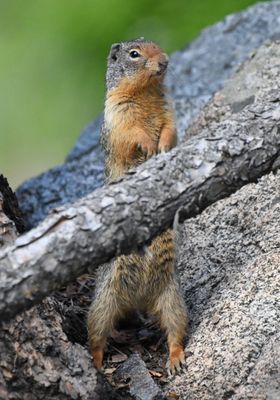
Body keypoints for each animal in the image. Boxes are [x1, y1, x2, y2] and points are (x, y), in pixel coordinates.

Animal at [87, 38, 188, 376]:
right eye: (134, 54)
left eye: (158, 45)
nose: (166, 60)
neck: (146, 92)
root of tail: (138, 302)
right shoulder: (118, 113)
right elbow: (130, 134)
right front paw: (147, 144)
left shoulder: (170, 109)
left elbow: (170, 128)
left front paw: (162, 146)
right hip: (104, 300)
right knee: (95, 334)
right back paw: (96, 362)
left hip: (173, 298)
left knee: (176, 331)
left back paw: (175, 359)